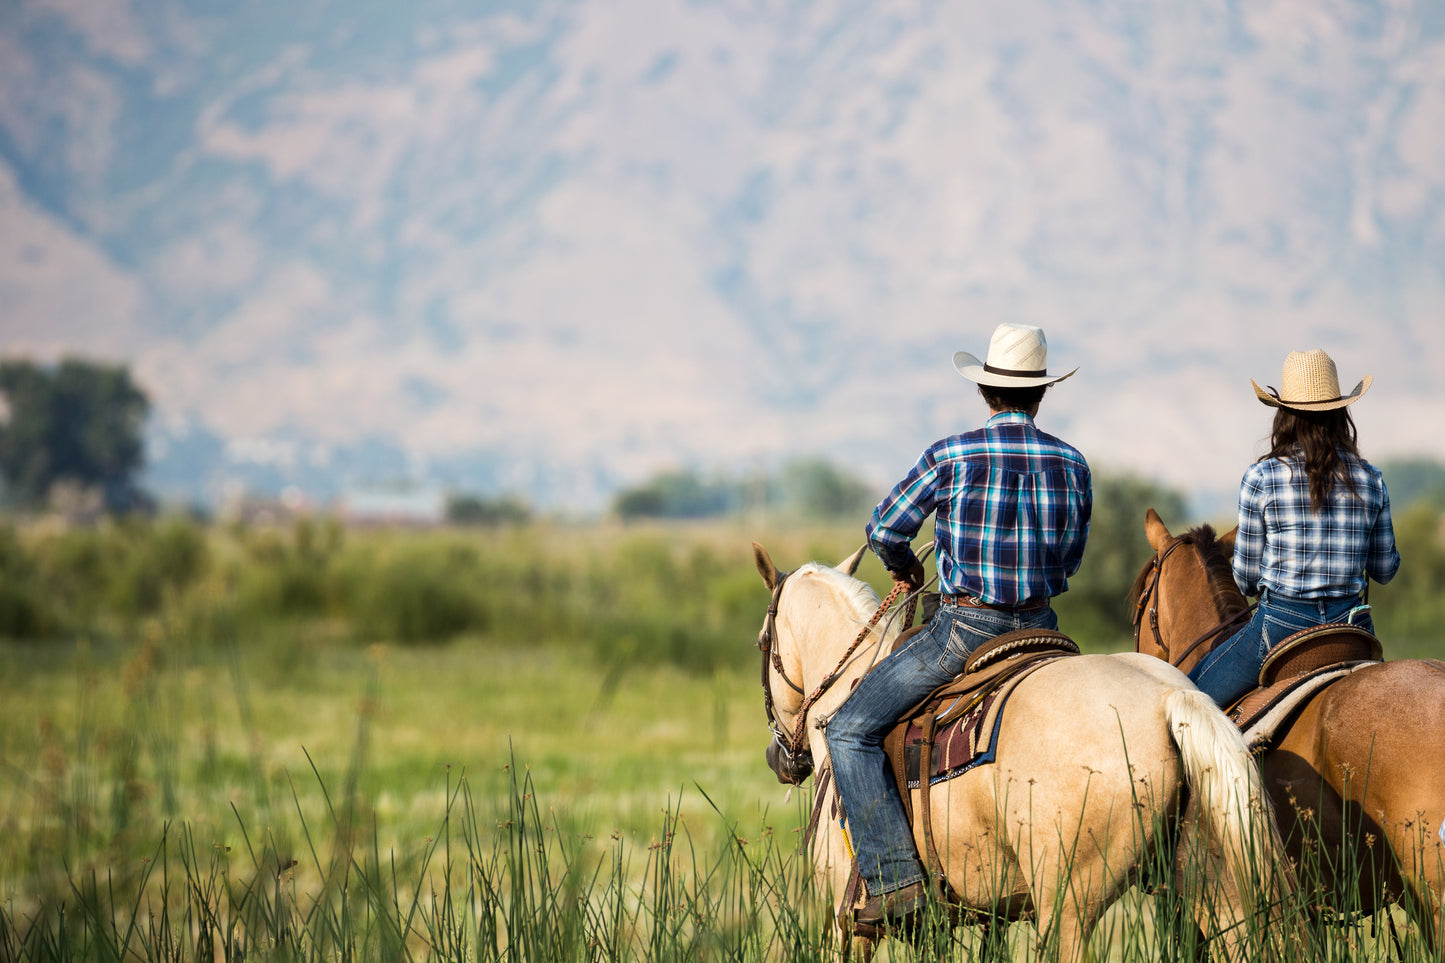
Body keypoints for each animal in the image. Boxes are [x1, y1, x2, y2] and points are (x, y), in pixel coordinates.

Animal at [752, 542, 1296, 962]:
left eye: (761, 642)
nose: (779, 759)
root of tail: (1169, 700)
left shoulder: (844, 922)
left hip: (1068, 908)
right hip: (1216, 888)